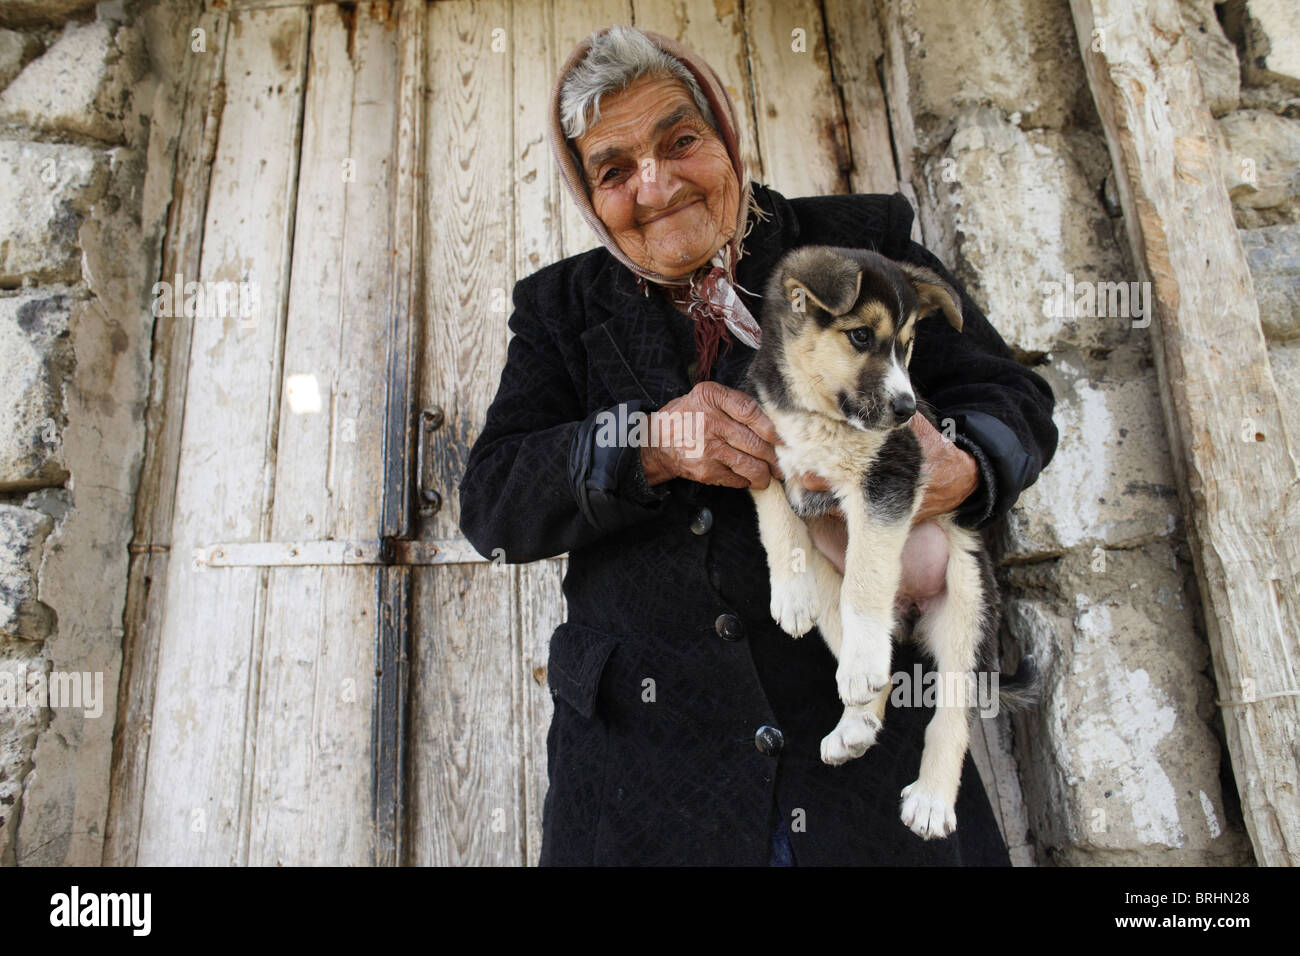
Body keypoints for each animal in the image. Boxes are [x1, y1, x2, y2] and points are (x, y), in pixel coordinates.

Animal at [743, 244, 1034, 837]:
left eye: (907, 345)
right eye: (860, 336)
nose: (906, 409)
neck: (815, 411)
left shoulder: (890, 476)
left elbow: (869, 574)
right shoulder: (764, 453)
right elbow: (776, 518)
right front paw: (790, 595)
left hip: (968, 605)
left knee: (952, 713)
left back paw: (931, 797)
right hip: (835, 587)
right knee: (872, 655)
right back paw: (856, 723)